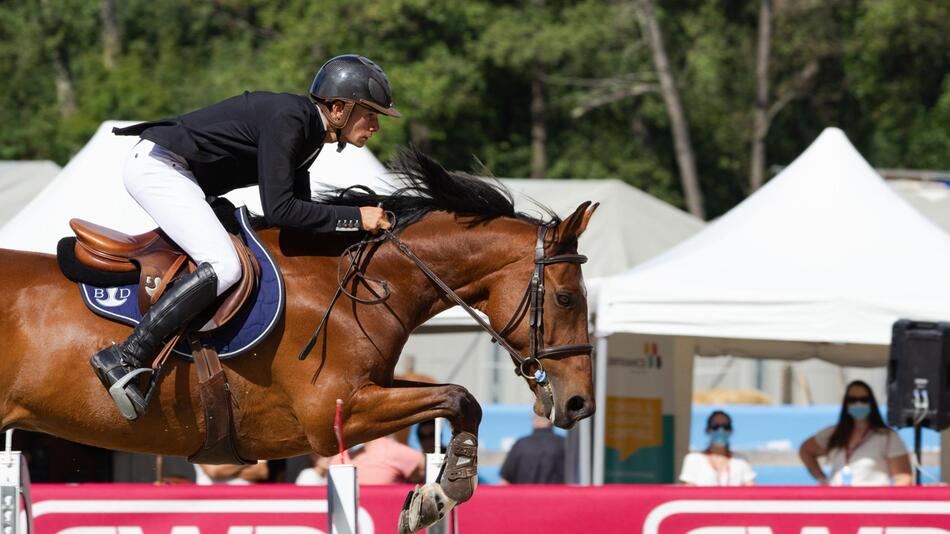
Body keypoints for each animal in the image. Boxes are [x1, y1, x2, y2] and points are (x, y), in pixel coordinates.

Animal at [0, 150, 600, 532]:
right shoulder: (334, 414)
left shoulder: (372, 389)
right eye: (567, 298)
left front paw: (432, 496)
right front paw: (441, 493)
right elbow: (457, 397)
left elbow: (461, 402)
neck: (363, 283)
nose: (579, 404)